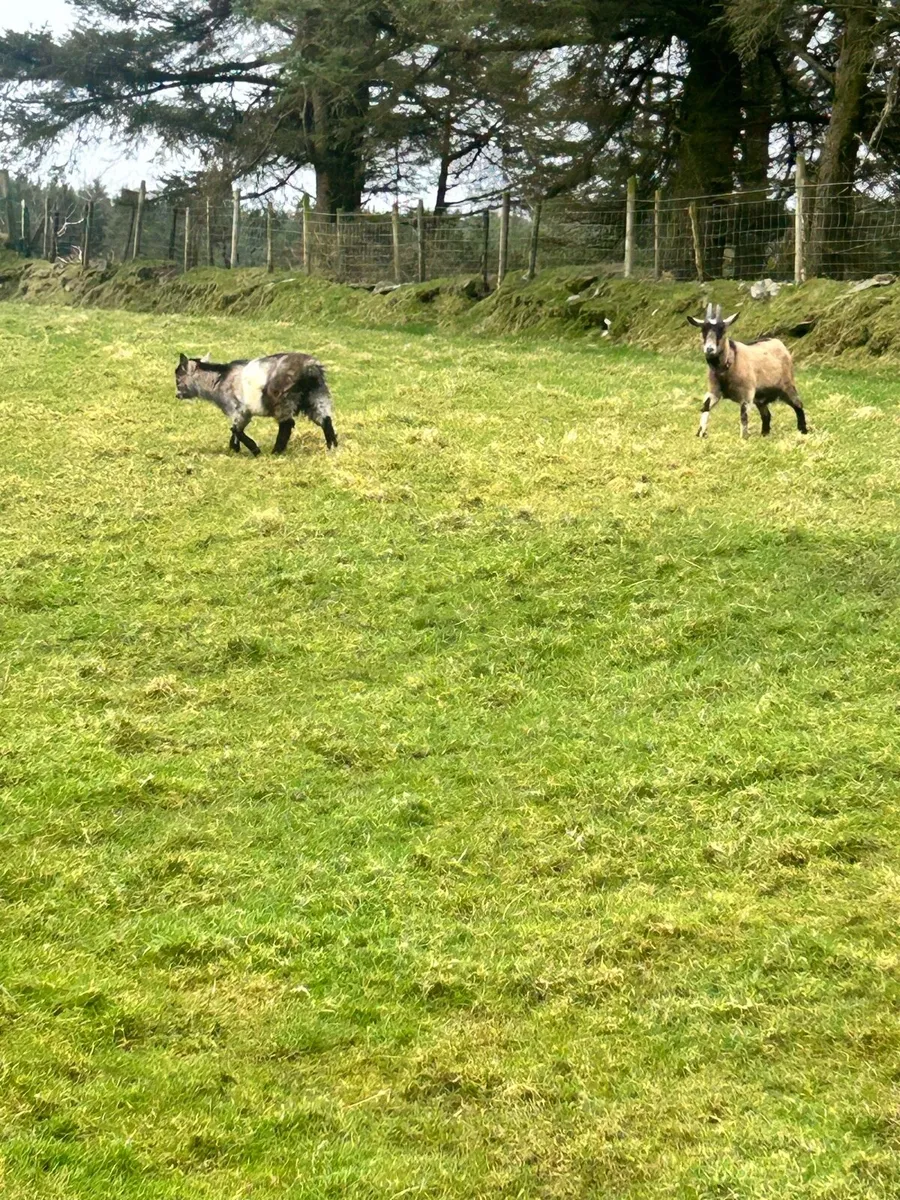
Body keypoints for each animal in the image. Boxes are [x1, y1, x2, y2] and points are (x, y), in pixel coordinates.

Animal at [175, 352, 338, 456]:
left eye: (178, 379)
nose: (177, 395)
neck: (219, 379)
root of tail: (310, 369)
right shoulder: (244, 413)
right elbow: (236, 430)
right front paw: (234, 449)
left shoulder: (238, 409)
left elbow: (235, 429)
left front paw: (254, 450)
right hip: (316, 396)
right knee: (325, 420)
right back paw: (333, 447)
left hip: (283, 399)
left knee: (286, 424)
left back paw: (276, 452)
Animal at [687, 303, 807, 439]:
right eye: (703, 330)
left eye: (722, 330)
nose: (709, 349)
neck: (730, 362)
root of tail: (779, 343)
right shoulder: (714, 391)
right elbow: (705, 406)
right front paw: (700, 433)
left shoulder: (746, 394)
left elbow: (743, 415)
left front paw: (744, 437)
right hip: (760, 396)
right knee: (766, 414)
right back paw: (764, 434)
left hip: (787, 385)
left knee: (798, 404)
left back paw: (803, 430)